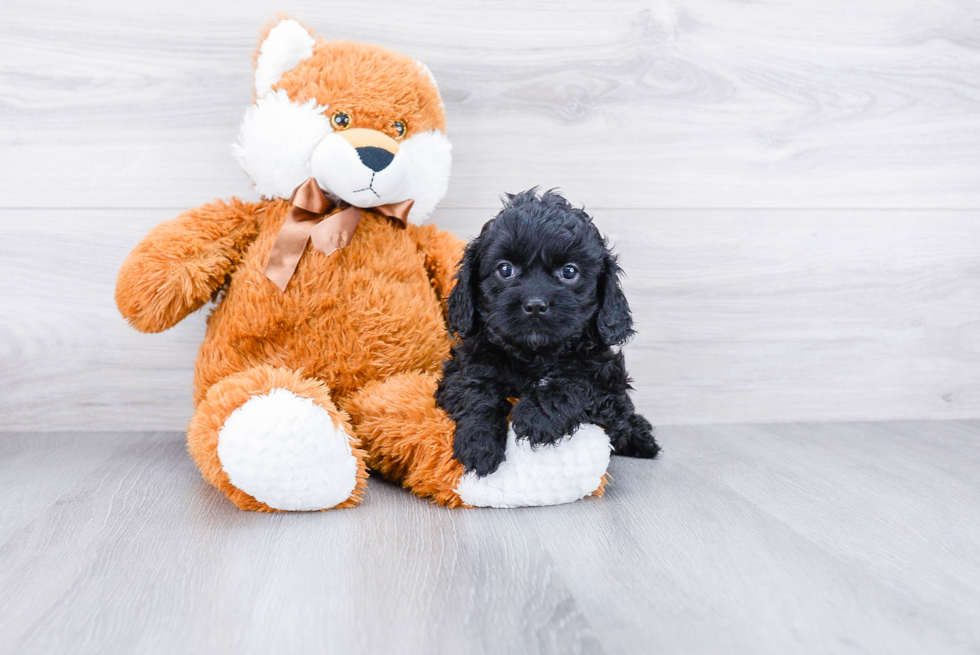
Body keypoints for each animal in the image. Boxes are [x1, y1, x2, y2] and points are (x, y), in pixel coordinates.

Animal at [434, 190, 660, 476]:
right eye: (505, 269)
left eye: (569, 271)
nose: (535, 305)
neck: (535, 356)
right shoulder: (461, 370)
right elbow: (476, 392)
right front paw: (479, 445)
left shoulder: (611, 385)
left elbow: (578, 384)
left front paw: (534, 416)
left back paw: (641, 437)